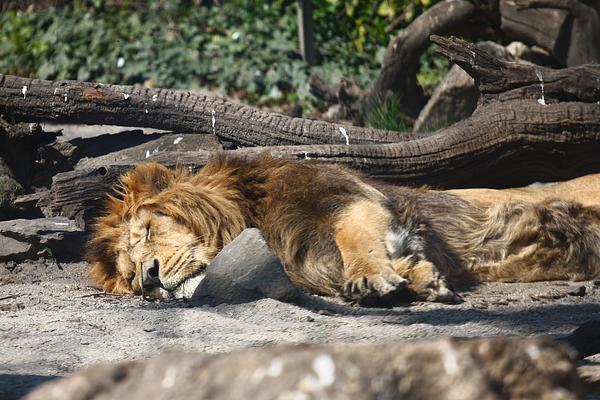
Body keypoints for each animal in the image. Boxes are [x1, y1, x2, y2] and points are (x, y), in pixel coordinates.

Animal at [86, 155, 600, 304]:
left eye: (146, 233)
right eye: (129, 276)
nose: (150, 278)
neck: (254, 215)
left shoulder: (346, 200)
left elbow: (354, 240)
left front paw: (371, 279)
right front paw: (421, 277)